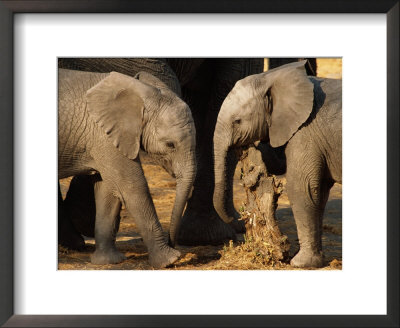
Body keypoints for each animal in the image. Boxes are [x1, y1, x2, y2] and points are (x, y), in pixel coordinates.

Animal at [58, 68, 196, 268]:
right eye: (170, 144)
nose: (172, 242)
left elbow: (109, 190)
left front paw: (108, 261)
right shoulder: (103, 135)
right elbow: (131, 187)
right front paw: (169, 261)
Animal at [212, 60, 340, 266]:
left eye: (237, 121)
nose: (237, 217)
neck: (272, 77)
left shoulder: (306, 131)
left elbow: (302, 187)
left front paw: (300, 264)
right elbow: (318, 191)